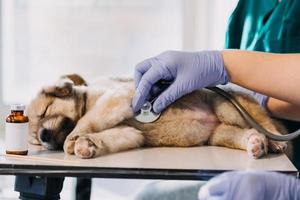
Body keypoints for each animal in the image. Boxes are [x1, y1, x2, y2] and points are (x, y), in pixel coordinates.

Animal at [27, 74, 288, 159]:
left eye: (45, 111)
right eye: (36, 139)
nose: (43, 135)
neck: (87, 100)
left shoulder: (116, 98)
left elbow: (85, 121)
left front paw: (74, 139)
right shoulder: (130, 134)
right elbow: (113, 135)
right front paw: (87, 145)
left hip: (229, 107)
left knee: (264, 123)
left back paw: (274, 140)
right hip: (221, 134)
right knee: (248, 133)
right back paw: (256, 143)